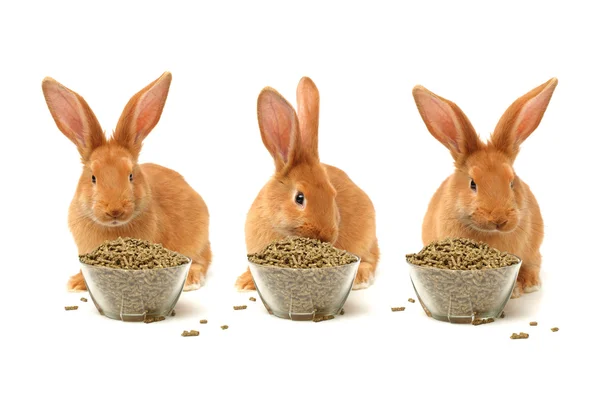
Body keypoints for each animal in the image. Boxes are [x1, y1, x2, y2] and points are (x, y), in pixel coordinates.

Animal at [42, 72, 211, 292]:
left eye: (131, 175)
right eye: (93, 177)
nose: (115, 210)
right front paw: (77, 282)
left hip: (199, 238)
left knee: (203, 259)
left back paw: (191, 279)